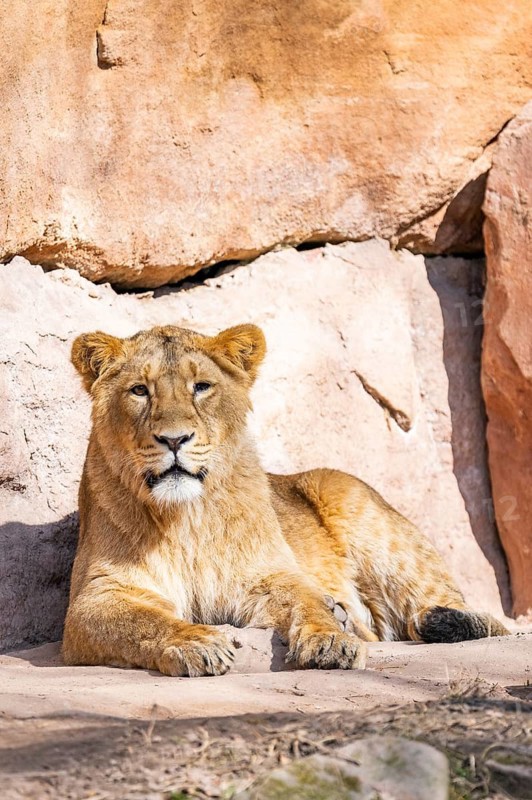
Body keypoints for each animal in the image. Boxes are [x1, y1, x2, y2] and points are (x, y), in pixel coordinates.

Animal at [63, 323, 509, 676]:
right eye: (140, 390)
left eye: (201, 387)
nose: (174, 439)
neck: (187, 514)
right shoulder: (97, 597)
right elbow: (146, 621)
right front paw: (196, 643)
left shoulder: (271, 573)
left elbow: (308, 603)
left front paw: (331, 641)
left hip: (360, 512)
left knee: (477, 618)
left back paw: (436, 622)